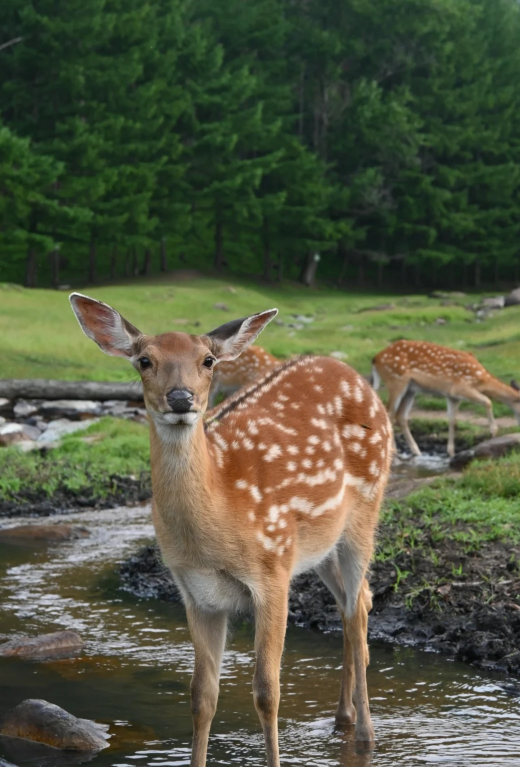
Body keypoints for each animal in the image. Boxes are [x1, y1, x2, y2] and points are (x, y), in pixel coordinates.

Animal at [70, 292, 393, 767]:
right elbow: (201, 695)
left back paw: (366, 734)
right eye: (144, 360)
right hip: (319, 545)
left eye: (208, 361)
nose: (180, 397)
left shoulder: (272, 572)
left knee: (356, 608)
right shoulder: (195, 592)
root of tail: (356, 376)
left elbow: (267, 692)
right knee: (358, 600)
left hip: (366, 510)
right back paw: (342, 719)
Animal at [372, 339, 520, 457]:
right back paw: (394, 452)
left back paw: (416, 451)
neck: (480, 379)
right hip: (396, 380)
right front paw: (493, 432)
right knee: (389, 412)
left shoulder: (452, 396)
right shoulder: (461, 387)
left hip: (410, 388)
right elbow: (487, 401)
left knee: (401, 415)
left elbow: (452, 420)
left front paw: (451, 452)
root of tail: (375, 359)